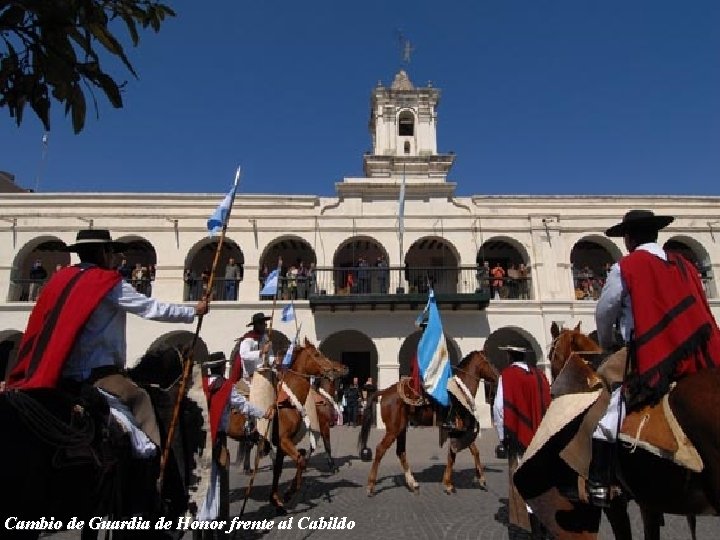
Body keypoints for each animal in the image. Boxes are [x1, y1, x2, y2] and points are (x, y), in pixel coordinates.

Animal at [270, 340, 348, 512]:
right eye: (319, 355)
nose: (345, 367)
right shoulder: (323, 426)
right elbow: (327, 446)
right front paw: (332, 465)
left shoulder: (314, 431)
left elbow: (309, 452)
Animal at [358, 350, 498, 498]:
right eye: (488, 361)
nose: (498, 376)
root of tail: (385, 391)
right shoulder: (458, 429)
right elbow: (453, 456)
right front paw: (449, 484)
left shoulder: (461, 430)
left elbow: (473, 451)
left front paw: (480, 479)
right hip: (393, 429)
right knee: (380, 450)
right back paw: (371, 486)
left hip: (401, 428)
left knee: (401, 452)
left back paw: (413, 484)